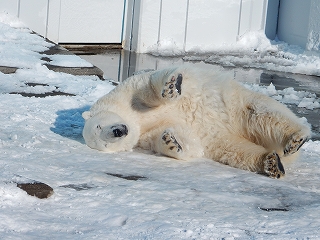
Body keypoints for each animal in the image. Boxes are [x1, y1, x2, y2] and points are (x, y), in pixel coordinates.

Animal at [82, 65, 310, 178]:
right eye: (103, 143)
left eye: (99, 125)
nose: (118, 131)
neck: (136, 121)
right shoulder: (144, 136)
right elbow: (179, 137)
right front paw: (171, 142)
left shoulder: (127, 92)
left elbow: (149, 89)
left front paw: (171, 87)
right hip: (220, 138)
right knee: (236, 152)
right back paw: (271, 163)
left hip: (234, 105)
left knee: (262, 113)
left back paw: (296, 139)